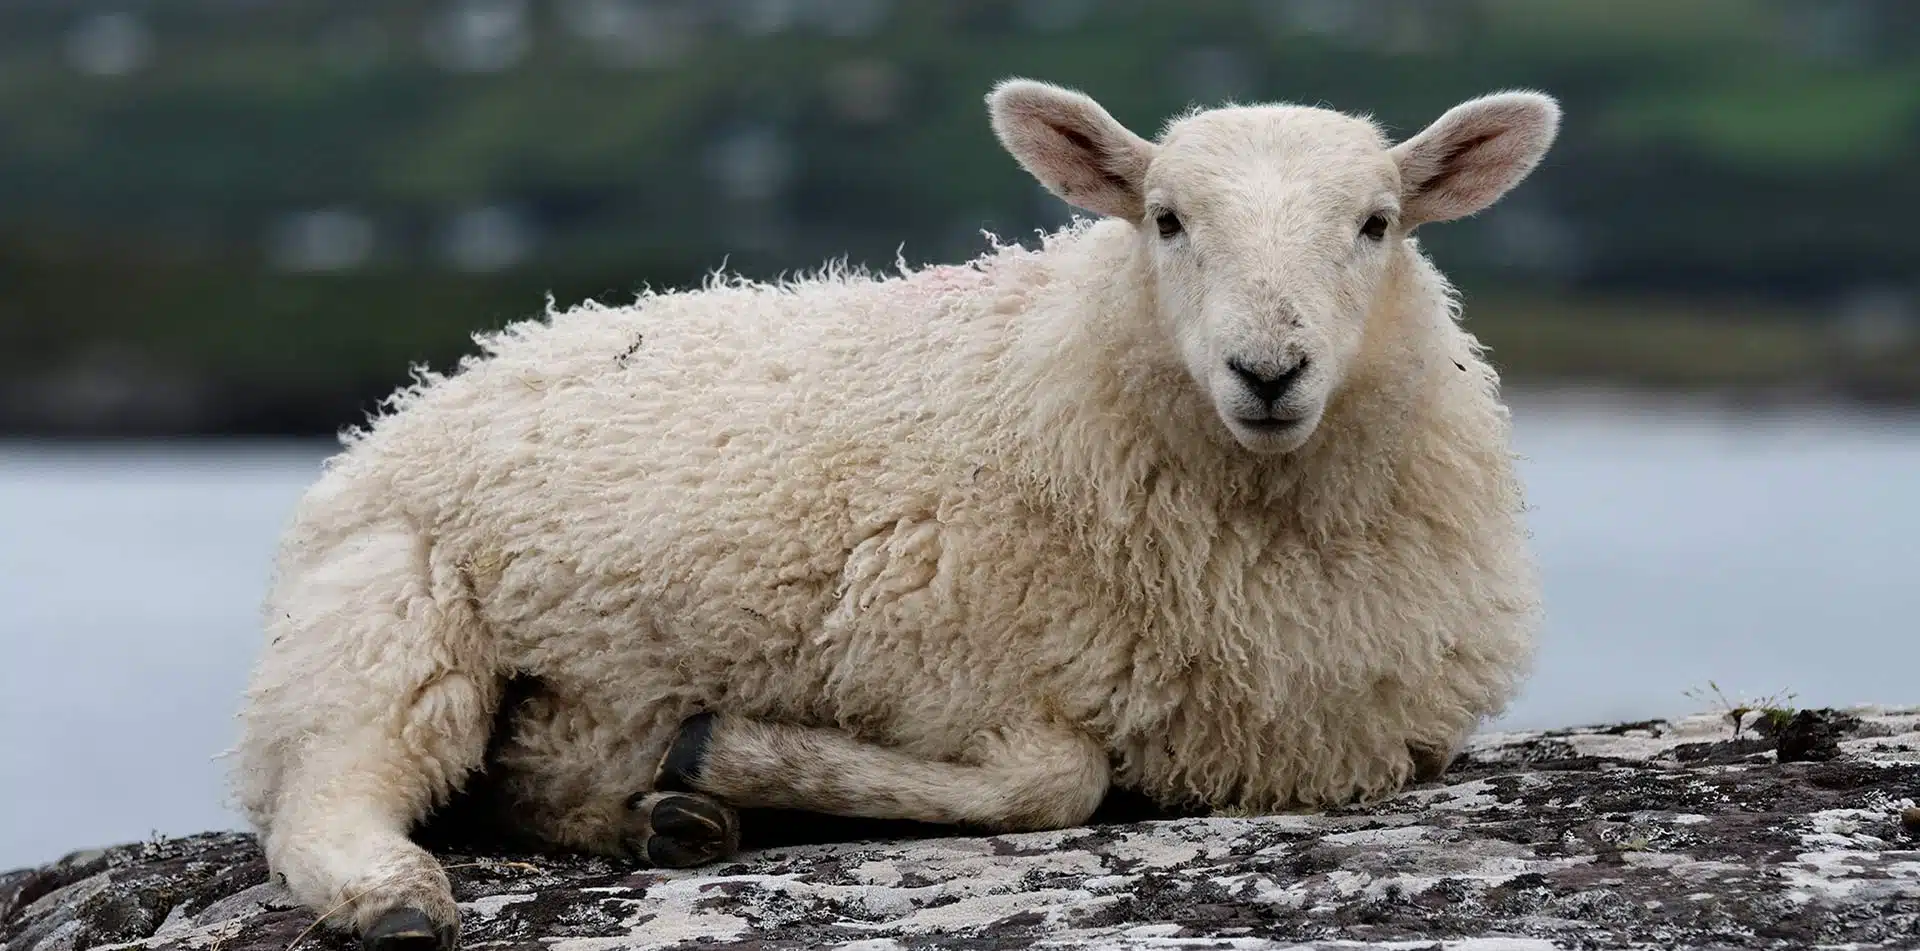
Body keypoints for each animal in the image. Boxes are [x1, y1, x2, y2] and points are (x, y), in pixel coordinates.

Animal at [236, 78, 1559, 949]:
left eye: (1377, 224)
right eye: (1167, 219)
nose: (1268, 371)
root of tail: (436, 382)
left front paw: (712, 775)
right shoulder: (918, 652)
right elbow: (1057, 782)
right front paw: (744, 752)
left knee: (517, 780)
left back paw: (660, 821)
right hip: (391, 609)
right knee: (325, 795)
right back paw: (400, 898)